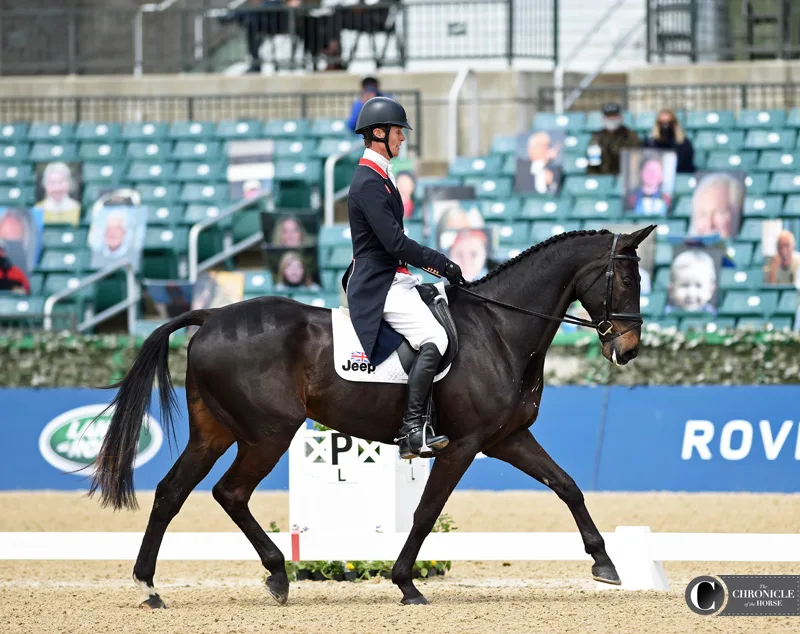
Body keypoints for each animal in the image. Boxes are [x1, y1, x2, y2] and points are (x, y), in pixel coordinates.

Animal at [90, 225, 656, 604]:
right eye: (626, 278)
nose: (628, 350)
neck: (500, 329)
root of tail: (210, 316)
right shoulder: (464, 445)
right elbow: (426, 512)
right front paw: (406, 583)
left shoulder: (507, 439)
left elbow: (568, 487)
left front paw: (605, 563)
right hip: (267, 433)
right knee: (229, 492)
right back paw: (276, 575)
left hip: (214, 432)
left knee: (172, 493)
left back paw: (149, 586)